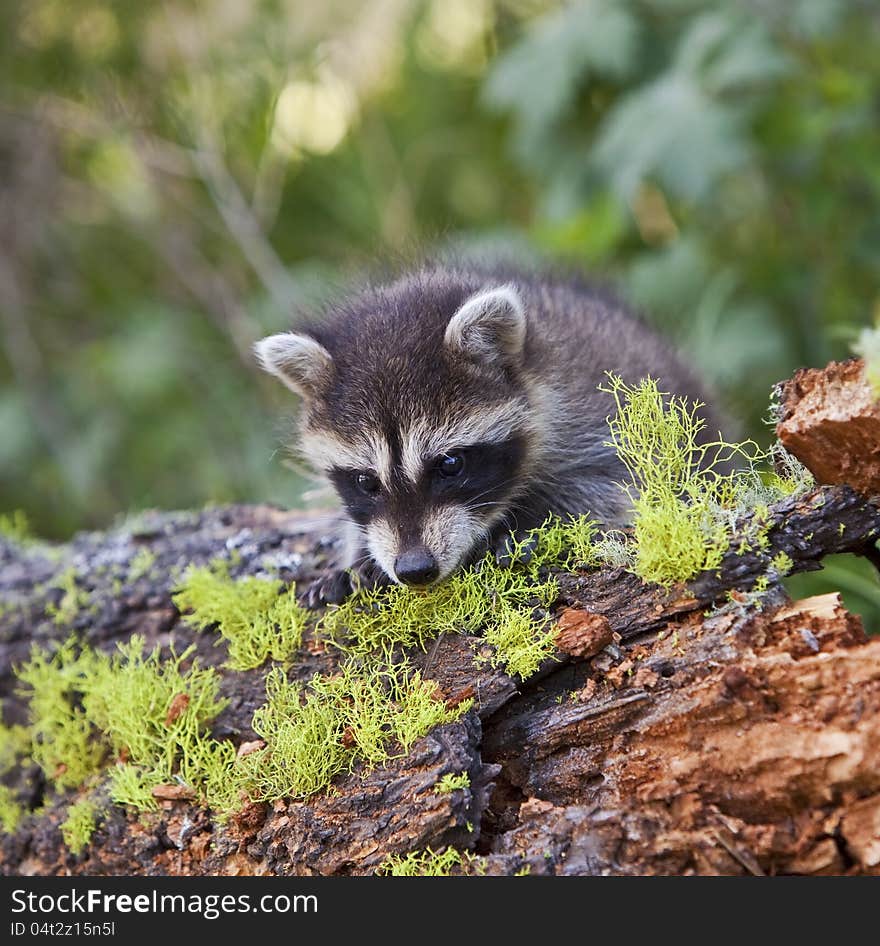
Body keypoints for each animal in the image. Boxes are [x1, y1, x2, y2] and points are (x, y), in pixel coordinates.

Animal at [253, 264, 720, 604]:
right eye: (366, 481)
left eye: (450, 465)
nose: (414, 569)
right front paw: (359, 556)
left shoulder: (600, 416)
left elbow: (615, 486)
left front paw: (528, 525)